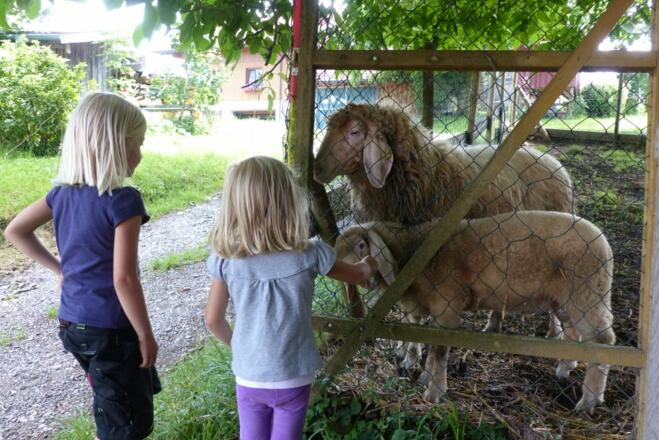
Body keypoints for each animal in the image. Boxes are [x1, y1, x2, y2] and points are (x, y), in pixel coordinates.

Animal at [314, 103, 574, 336]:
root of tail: (554, 163)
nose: (317, 169)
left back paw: (553, 331)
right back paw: (494, 324)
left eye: (354, 132)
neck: (422, 174)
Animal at [335, 210, 615, 414]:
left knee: (603, 341)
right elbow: (429, 344)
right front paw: (426, 377)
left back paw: (589, 401)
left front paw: (434, 392)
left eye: (361, 246)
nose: (339, 272)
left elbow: (439, 349)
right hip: (567, 300)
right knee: (575, 335)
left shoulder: (447, 307)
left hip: (587, 292)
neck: (415, 253)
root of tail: (604, 244)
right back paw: (565, 369)